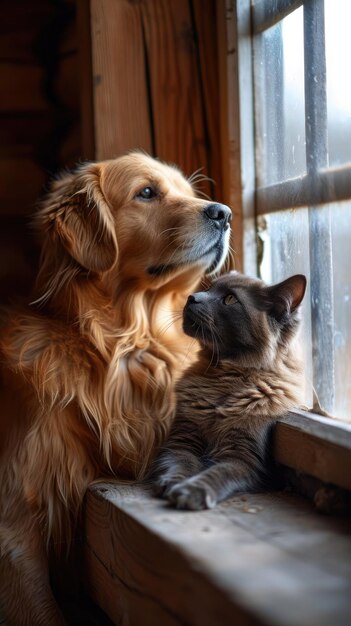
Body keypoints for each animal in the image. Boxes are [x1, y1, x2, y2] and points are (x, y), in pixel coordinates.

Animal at [0, 150, 232, 620]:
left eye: (191, 192)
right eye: (146, 192)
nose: (224, 213)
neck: (128, 345)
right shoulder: (15, 520)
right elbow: (43, 610)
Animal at [153, 270, 306, 510]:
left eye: (230, 299)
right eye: (209, 289)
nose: (192, 297)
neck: (222, 383)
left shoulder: (242, 456)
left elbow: (217, 473)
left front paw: (190, 491)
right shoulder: (182, 438)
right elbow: (181, 462)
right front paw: (172, 482)